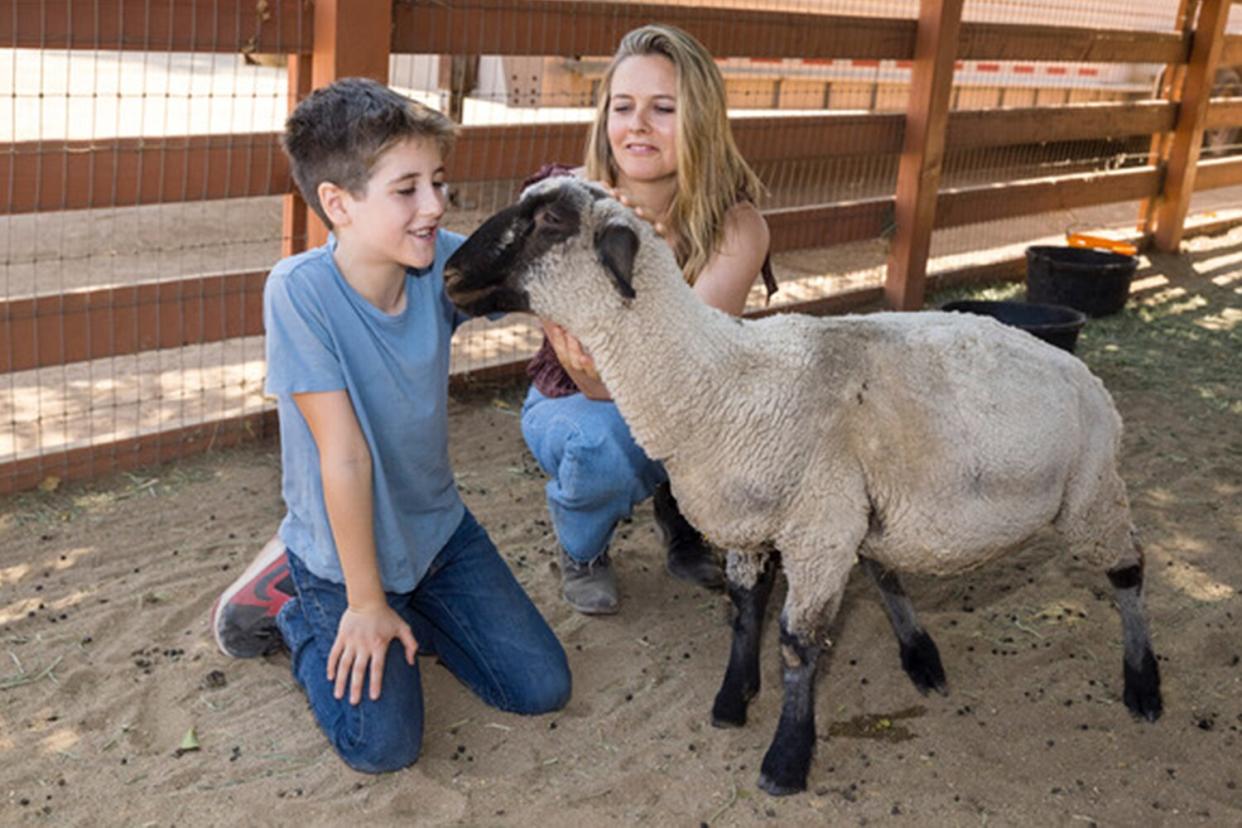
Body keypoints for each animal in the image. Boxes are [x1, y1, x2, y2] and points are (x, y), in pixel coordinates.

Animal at [444, 180, 1162, 794]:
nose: (449, 274)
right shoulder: (759, 524)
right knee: (884, 568)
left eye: (550, 220)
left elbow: (796, 641)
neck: (717, 380)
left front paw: (786, 759)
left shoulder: (816, 531)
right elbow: (745, 610)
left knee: (1128, 569)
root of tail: (1081, 372)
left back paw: (1145, 685)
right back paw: (921, 656)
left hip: (1091, 490)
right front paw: (733, 700)